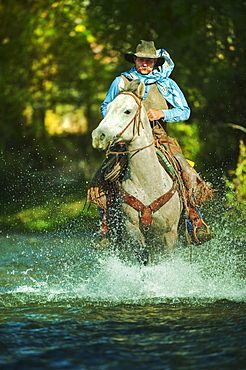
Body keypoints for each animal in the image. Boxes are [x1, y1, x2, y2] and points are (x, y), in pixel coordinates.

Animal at [92, 80, 183, 264]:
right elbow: (142, 255)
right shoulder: (131, 227)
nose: (98, 136)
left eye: (127, 111)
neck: (149, 182)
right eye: (109, 107)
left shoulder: (170, 234)